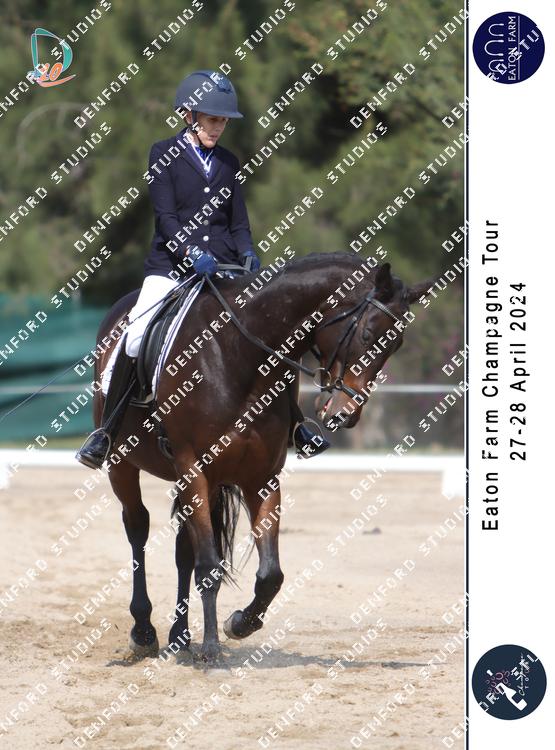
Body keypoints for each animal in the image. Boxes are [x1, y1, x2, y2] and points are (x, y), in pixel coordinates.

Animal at [91, 252, 433, 662]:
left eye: (396, 345)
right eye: (367, 334)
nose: (344, 414)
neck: (238, 357)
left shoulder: (261, 478)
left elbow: (270, 574)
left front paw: (238, 624)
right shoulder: (194, 469)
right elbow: (210, 567)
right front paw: (211, 650)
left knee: (183, 549)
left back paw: (179, 636)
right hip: (122, 464)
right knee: (137, 527)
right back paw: (144, 632)